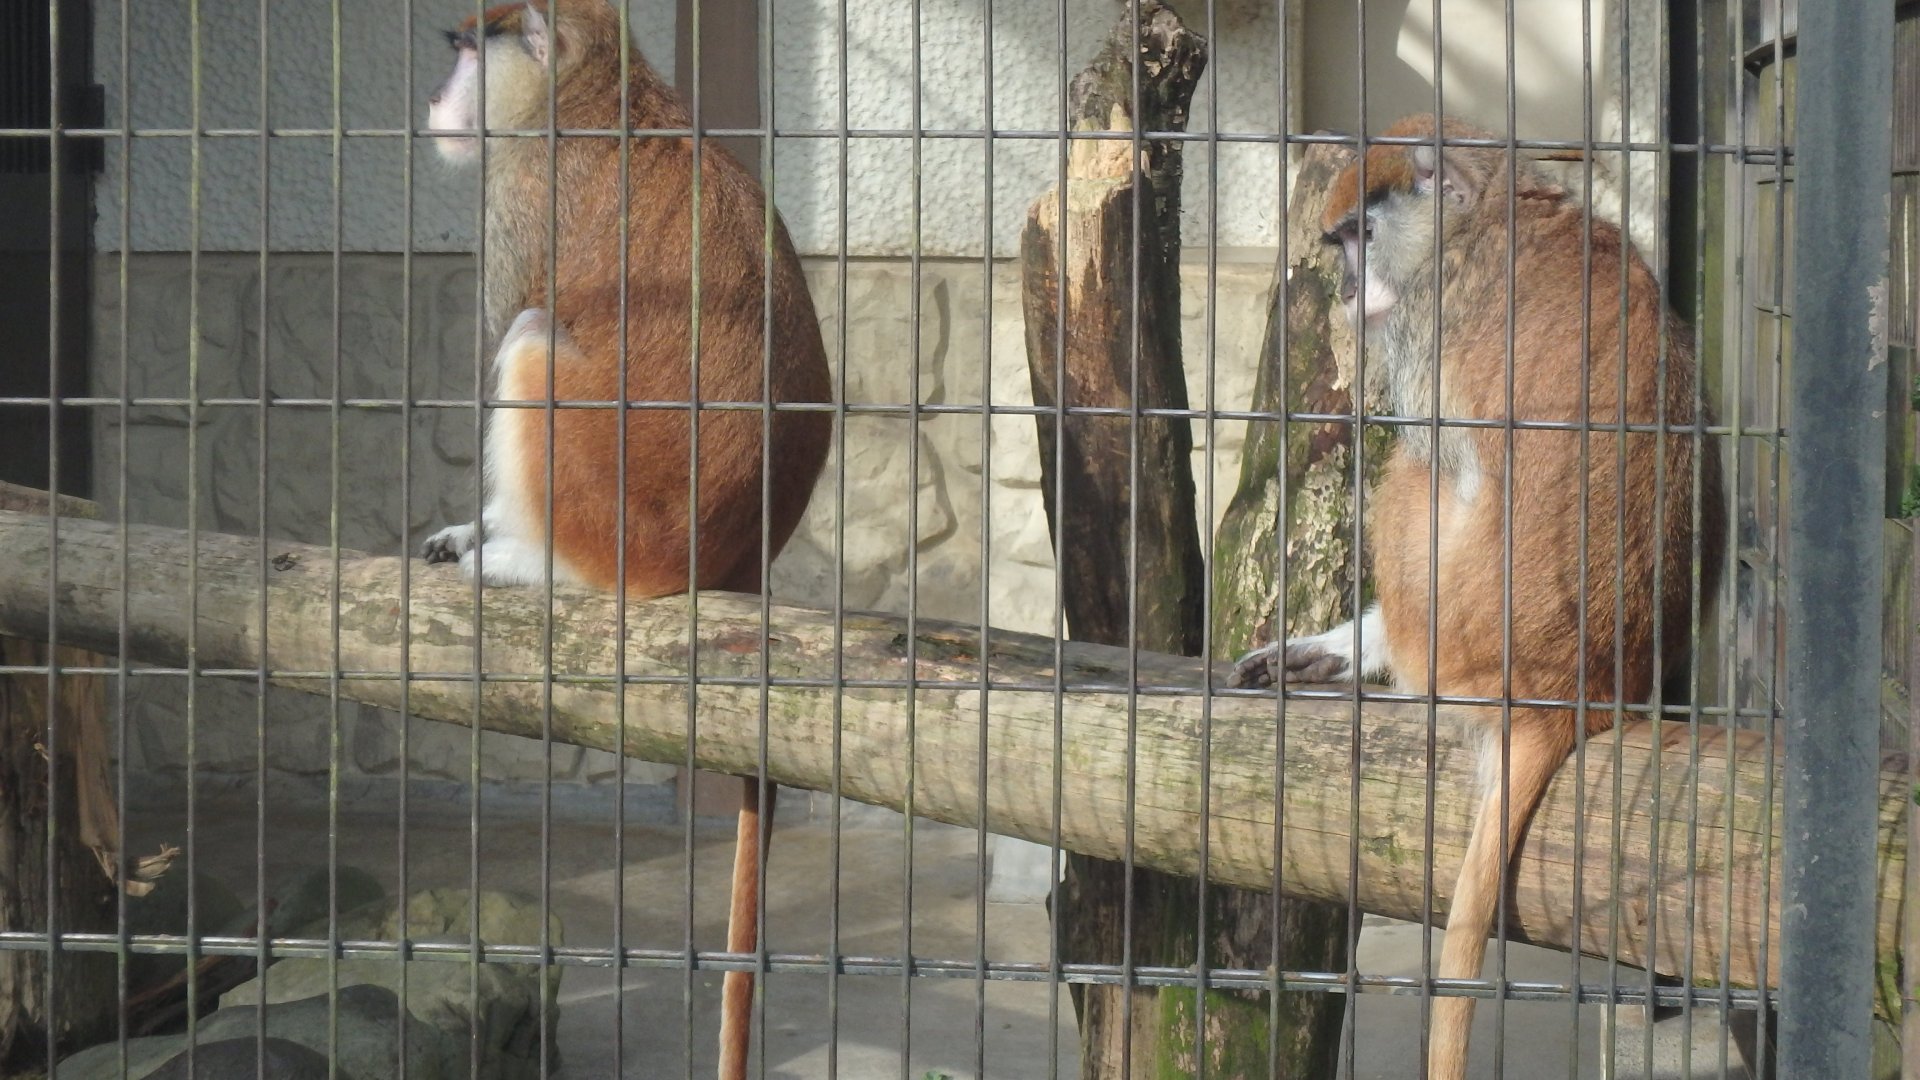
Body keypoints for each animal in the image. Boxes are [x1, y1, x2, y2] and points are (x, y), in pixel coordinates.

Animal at [419, 5, 832, 1079]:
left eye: (469, 49)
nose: (439, 100)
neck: (598, 95)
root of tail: (730, 558)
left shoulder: (523, 188)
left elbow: (518, 316)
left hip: (608, 506)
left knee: (533, 339)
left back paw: (530, 562)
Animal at [1229, 114, 1723, 1080]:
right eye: (1339, 244)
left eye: (1364, 236)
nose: (1351, 289)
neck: (1489, 214)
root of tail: (1569, 693)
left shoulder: (1436, 322)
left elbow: (1445, 463)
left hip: (1452, 627)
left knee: (1413, 478)